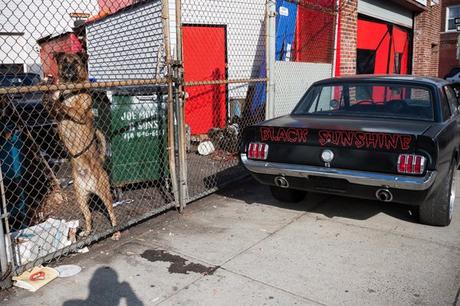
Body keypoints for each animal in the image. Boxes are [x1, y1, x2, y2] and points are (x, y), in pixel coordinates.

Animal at [44, 52, 120, 239]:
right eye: (64, 62)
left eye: (76, 62)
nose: (68, 68)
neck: (69, 90)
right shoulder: (55, 115)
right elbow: (53, 105)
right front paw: (49, 95)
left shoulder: (79, 113)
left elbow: (68, 108)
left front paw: (57, 101)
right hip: (80, 198)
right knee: (88, 216)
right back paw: (87, 231)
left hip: (104, 193)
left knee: (112, 213)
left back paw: (116, 231)